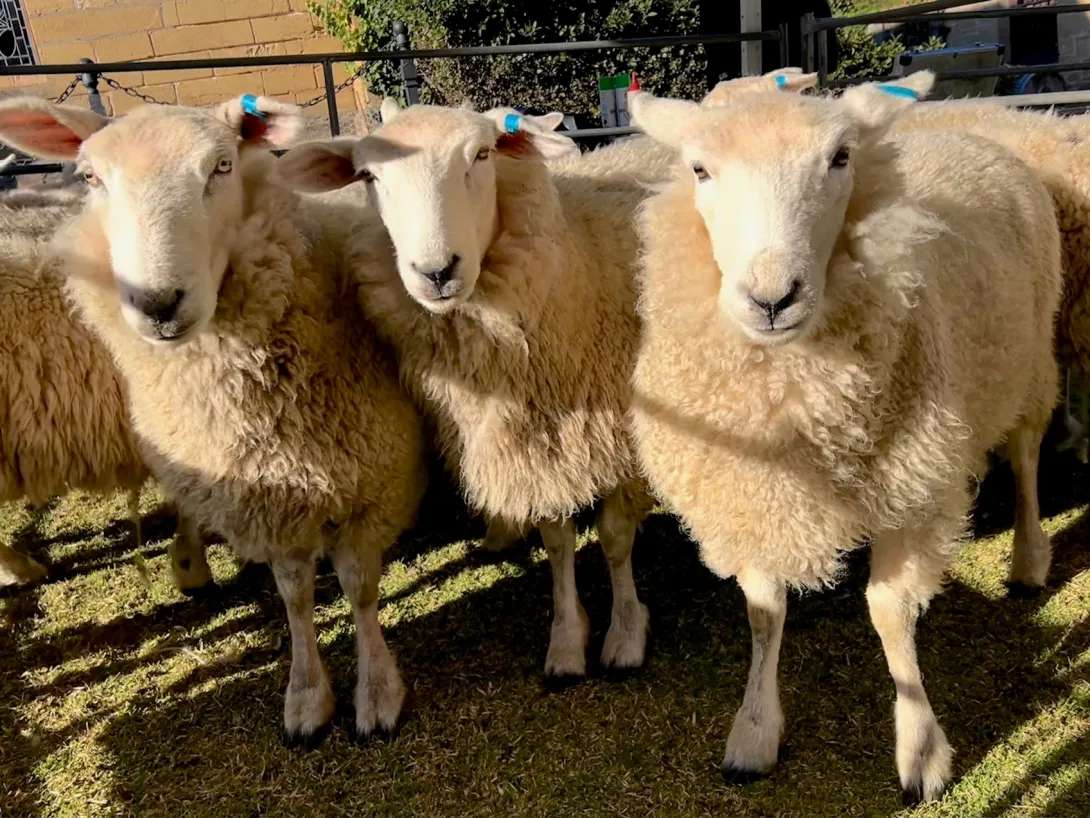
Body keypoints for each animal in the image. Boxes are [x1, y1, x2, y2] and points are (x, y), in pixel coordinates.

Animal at [276, 101, 660, 683]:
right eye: (369, 176)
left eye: (481, 155)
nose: (436, 272)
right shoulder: (539, 443)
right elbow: (557, 542)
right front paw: (568, 640)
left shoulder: (625, 439)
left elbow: (615, 539)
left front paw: (625, 635)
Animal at [626, 72, 1062, 802]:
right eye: (699, 169)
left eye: (840, 158)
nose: (772, 297)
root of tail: (968, 124)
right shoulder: (755, 491)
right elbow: (764, 612)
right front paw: (753, 733)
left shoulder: (910, 488)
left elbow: (889, 610)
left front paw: (921, 751)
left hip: (1031, 358)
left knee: (1027, 455)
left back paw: (1029, 560)